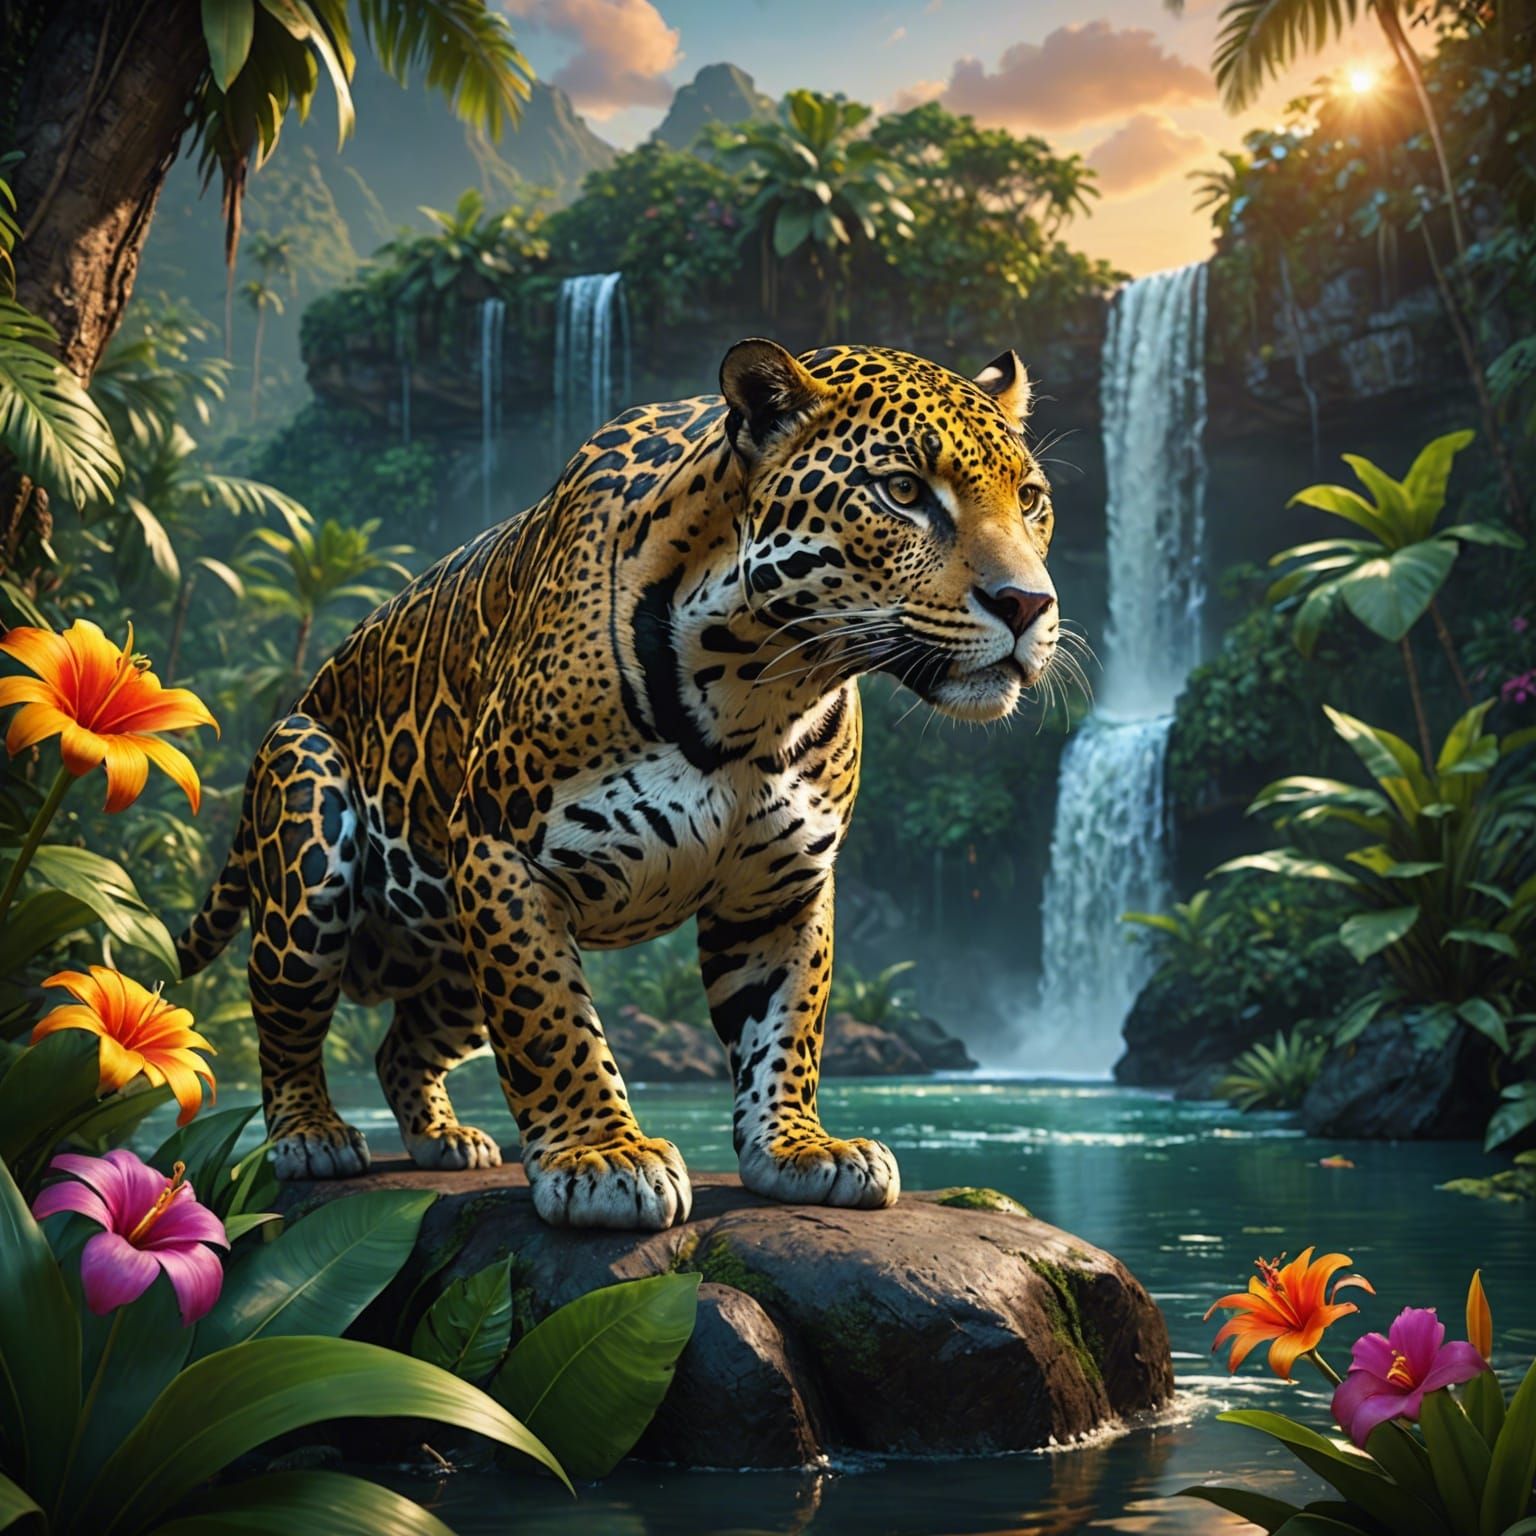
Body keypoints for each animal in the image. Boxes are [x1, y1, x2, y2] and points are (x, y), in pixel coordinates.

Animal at [175, 339, 1062, 1231]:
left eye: (1030, 499)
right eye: (904, 491)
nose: (1028, 603)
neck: (758, 693)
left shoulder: (782, 887)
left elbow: (787, 1024)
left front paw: (798, 1147)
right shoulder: (503, 855)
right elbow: (549, 1021)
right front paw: (601, 1156)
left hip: (453, 947)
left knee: (401, 1045)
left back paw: (444, 1138)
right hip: (309, 826)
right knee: (282, 1013)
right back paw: (312, 1136)